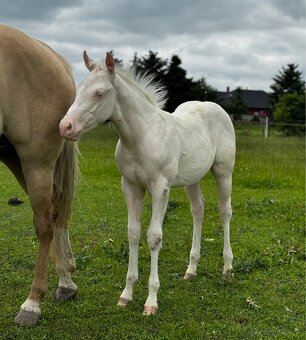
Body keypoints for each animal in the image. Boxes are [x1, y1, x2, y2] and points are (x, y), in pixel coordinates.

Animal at [0, 25, 79, 326]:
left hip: (36, 161)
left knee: (45, 223)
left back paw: (32, 303)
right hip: (13, 156)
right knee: (55, 214)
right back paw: (66, 283)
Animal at [59, 51, 237, 316]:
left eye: (99, 93)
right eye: (79, 90)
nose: (65, 127)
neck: (140, 137)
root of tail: (215, 108)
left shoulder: (159, 188)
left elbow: (154, 237)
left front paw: (151, 300)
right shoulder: (130, 186)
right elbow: (133, 233)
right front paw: (126, 294)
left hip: (223, 171)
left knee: (224, 211)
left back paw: (227, 269)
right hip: (192, 178)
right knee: (198, 210)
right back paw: (191, 269)